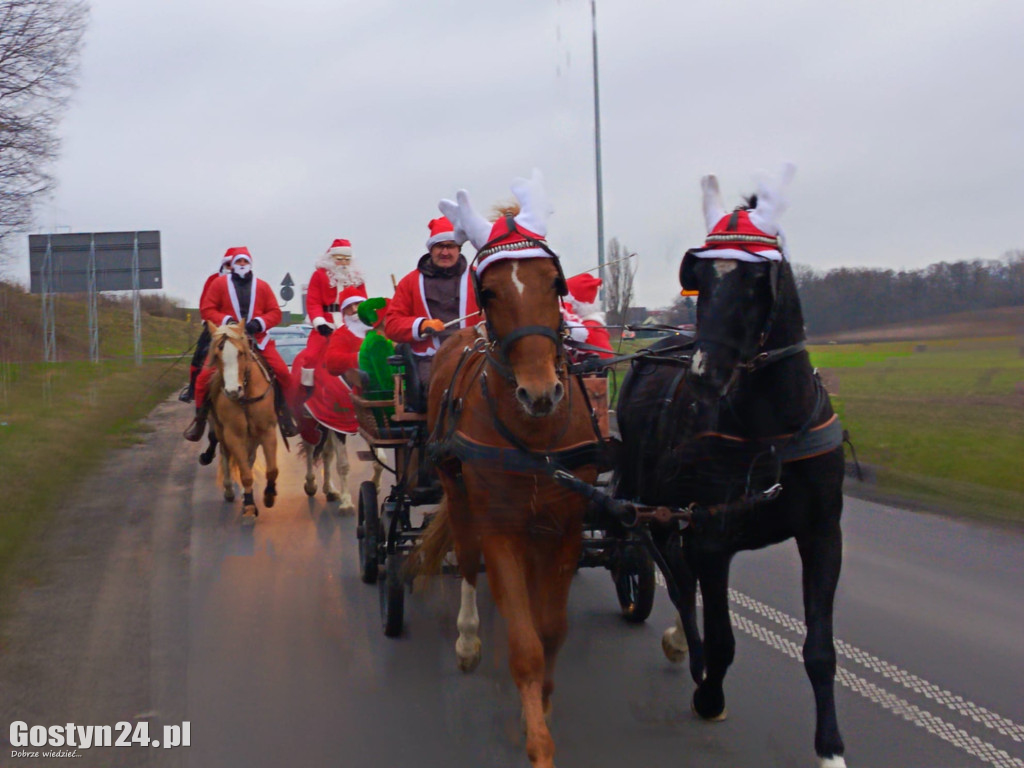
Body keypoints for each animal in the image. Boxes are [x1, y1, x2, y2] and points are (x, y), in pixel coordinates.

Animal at [204, 321, 280, 520]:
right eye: (217, 355)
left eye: (241, 353)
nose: (232, 391)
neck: (245, 396)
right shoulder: (234, 435)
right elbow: (245, 473)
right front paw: (249, 505)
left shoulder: (267, 431)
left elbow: (272, 469)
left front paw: (269, 495)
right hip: (221, 432)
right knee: (225, 455)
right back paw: (230, 490)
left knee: (249, 458)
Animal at [419, 173, 602, 768]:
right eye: (490, 292)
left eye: (555, 282)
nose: (540, 392)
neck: (537, 438)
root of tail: (462, 334)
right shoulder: (501, 528)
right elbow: (524, 644)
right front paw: (538, 742)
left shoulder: (565, 530)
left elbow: (550, 631)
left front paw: (541, 704)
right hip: (457, 491)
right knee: (467, 559)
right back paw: (469, 639)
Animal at [614, 169, 847, 768]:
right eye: (699, 281)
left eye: (755, 281)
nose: (703, 373)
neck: (774, 430)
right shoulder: (713, 535)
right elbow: (721, 636)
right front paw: (709, 693)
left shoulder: (821, 534)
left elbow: (820, 649)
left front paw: (830, 748)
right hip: (657, 506)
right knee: (675, 579)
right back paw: (689, 651)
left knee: (681, 577)